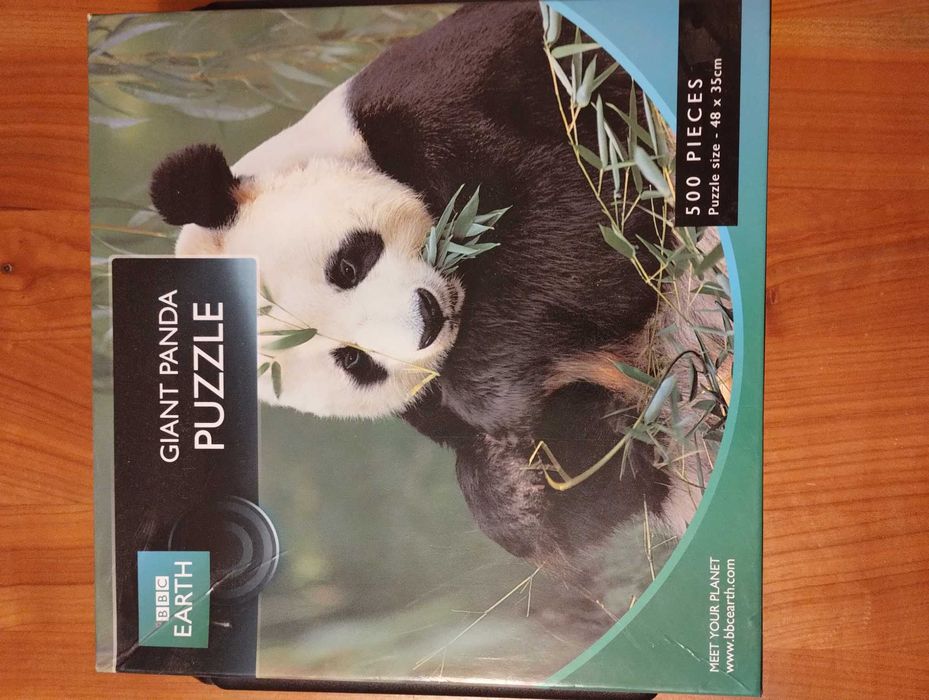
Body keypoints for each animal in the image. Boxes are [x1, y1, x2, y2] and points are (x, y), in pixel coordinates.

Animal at [150, 2, 719, 587]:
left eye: (347, 266)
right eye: (354, 362)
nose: (426, 321)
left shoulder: (443, 100)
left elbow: (592, 213)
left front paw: (491, 391)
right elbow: (598, 469)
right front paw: (517, 484)